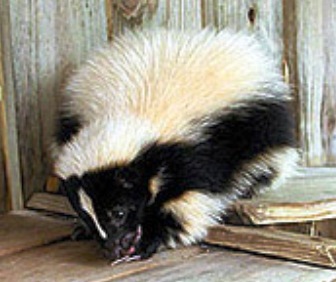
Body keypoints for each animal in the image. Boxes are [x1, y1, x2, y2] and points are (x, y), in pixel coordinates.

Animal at [53, 28, 298, 262]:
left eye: (119, 212)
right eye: (86, 214)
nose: (114, 248)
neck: (123, 115)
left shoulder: (190, 151)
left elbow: (186, 204)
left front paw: (150, 240)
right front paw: (83, 229)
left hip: (261, 129)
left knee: (262, 163)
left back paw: (253, 185)